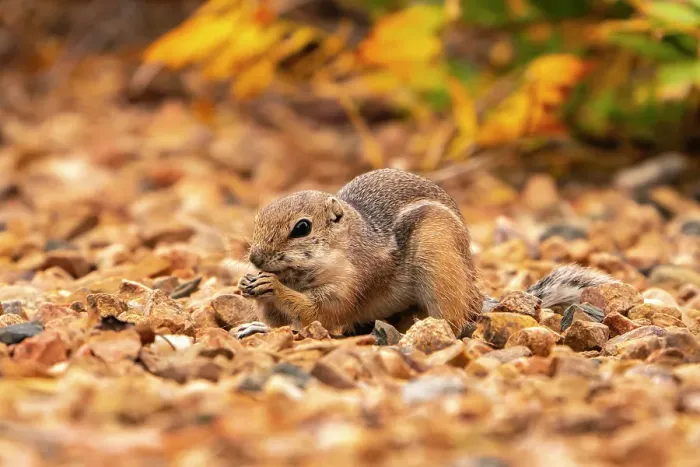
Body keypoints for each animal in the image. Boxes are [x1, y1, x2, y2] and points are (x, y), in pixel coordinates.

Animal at [236, 168, 615, 339]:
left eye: (301, 228)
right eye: (257, 219)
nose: (255, 259)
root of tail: (475, 296)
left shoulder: (352, 283)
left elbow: (321, 312)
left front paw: (273, 287)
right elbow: (281, 321)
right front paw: (250, 288)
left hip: (438, 263)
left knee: (455, 322)